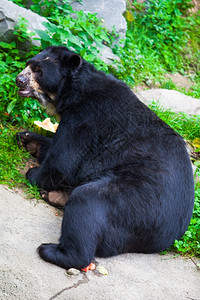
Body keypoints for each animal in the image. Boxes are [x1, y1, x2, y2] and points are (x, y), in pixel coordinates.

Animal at [15, 46, 194, 270]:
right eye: (29, 63)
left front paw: (32, 173)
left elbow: (63, 161)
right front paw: (27, 138)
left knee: (87, 203)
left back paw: (51, 250)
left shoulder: (85, 119)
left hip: (133, 201)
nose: (19, 79)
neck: (73, 92)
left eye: (39, 71)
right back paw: (55, 196)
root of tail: (168, 237)